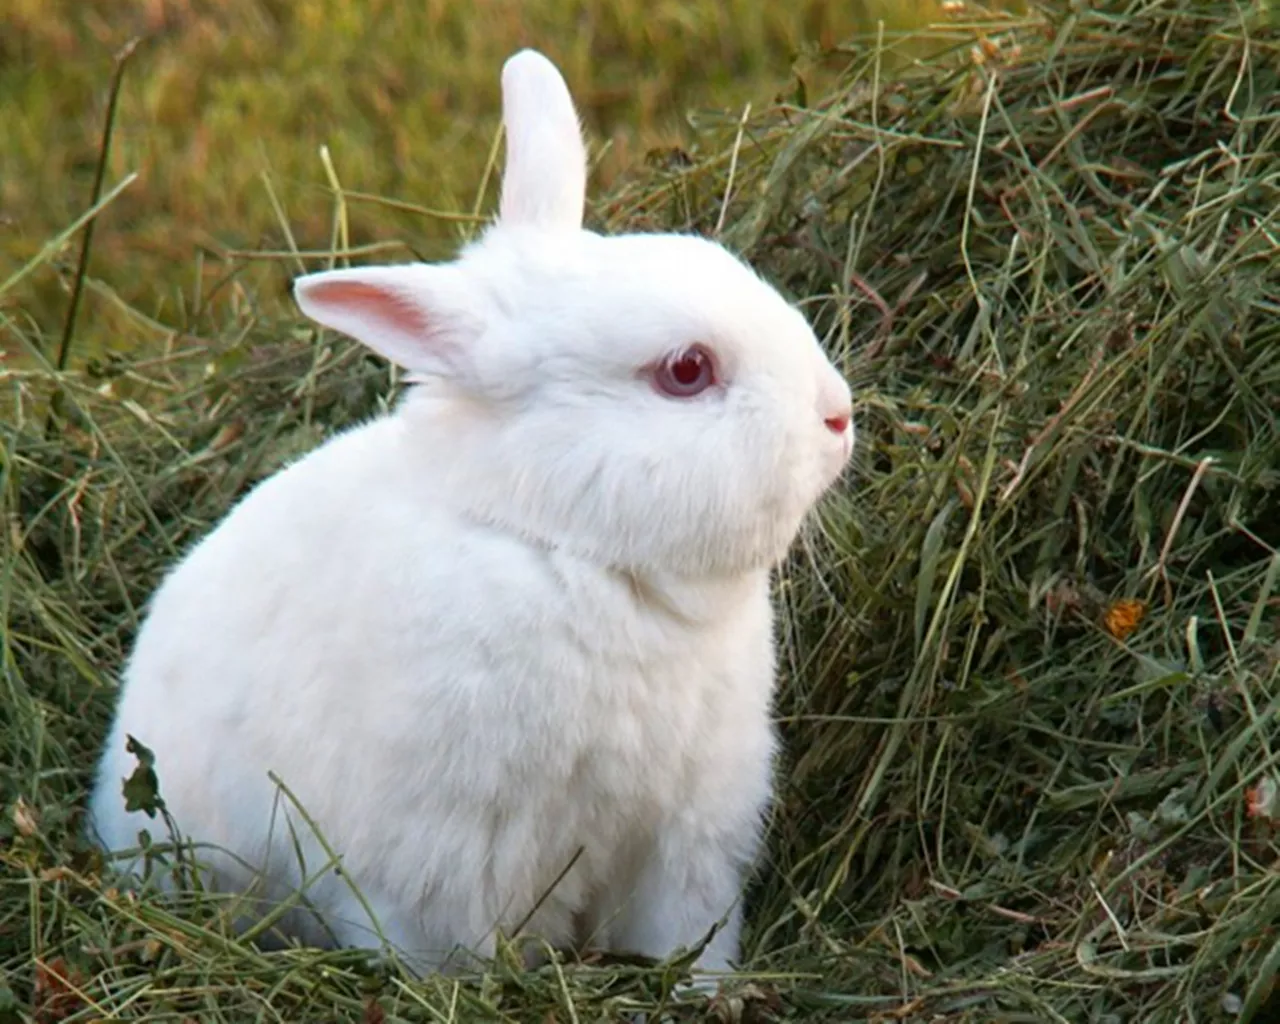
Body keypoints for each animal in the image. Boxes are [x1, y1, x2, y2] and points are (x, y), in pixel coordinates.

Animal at [87, 49, 849, 983]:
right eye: (686, 370)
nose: (839, 416)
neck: (576, 554)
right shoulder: (437, 864)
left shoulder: (688, 839)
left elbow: (684, 936)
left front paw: (699, 990)